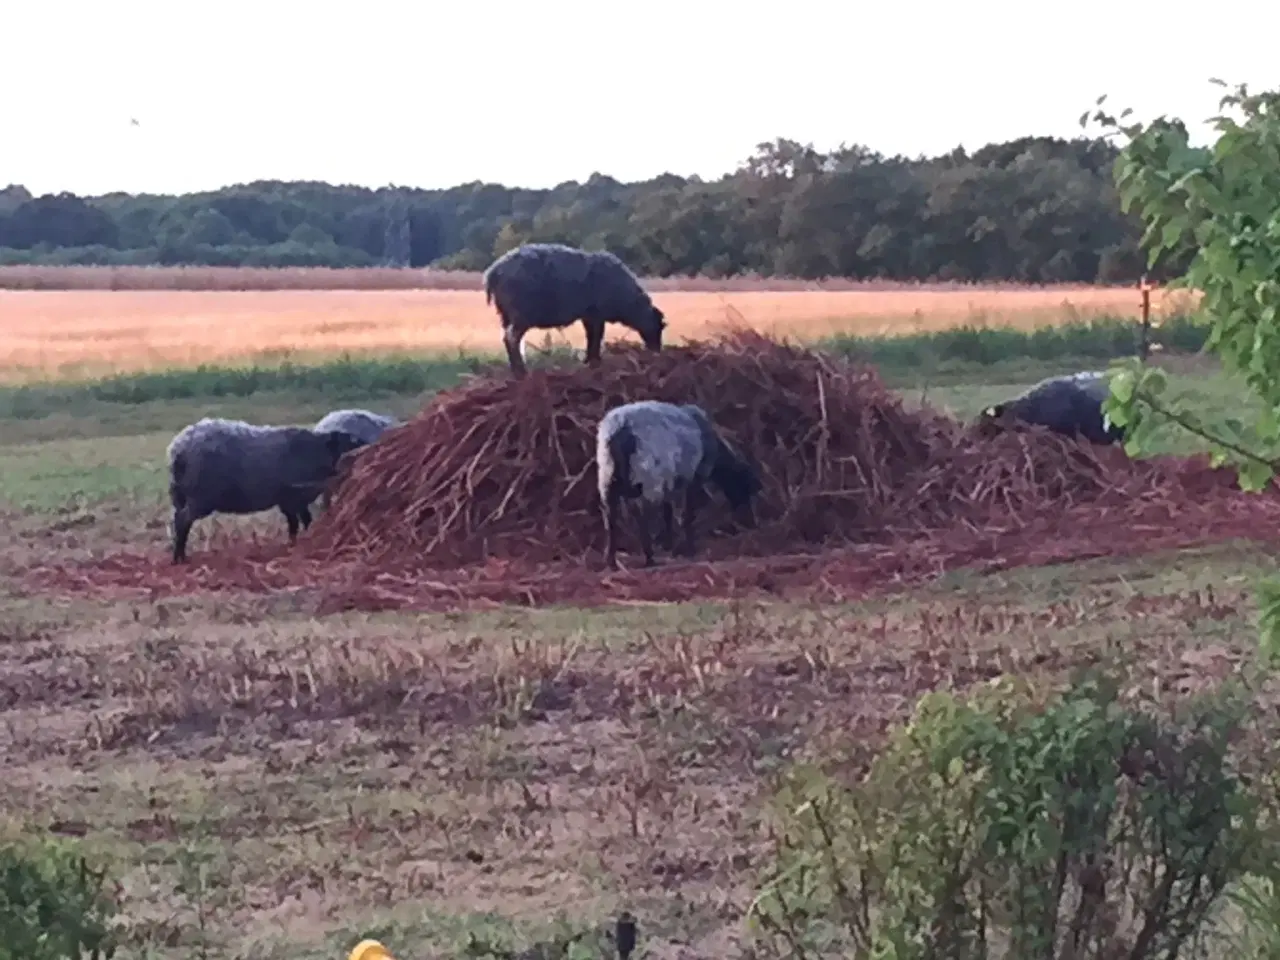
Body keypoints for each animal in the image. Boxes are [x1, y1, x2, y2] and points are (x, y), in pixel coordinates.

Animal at [165, 419, 366, 563]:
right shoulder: (294, 498)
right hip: (201, 498)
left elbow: (298, 522)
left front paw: (296, 543)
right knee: (182, 520)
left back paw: (179, 555)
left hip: (179, 495)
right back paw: (180, 558)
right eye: (352, 443)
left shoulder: (289, 501)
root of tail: (179, 449)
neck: (316, 451)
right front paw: (300, 543)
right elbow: (300, 522)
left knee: (178, 520)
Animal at [481, 241, 670, 378]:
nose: (657, 352)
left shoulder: (589, 316)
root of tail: (493, 273)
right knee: (511, 339)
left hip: (505, 315)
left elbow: (591, 337)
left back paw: (515, 371)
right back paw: (522, 372)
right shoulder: (596, 315)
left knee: (509, 339)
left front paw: (589, 361)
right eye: (659, 326)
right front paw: (594, 362)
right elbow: (596, 337)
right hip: (521, 315)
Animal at [591, 399, 757, 570]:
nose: (750, 523)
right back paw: (649, 559)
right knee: (643, 515)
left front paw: (668, 545)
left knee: (610, 517)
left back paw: (611, 562)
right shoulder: (692, 479)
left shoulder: (670, 482)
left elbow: (667, 513)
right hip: (648, 476)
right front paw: (689, 549)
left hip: (607, 477)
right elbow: (686, 514)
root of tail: (619, 429)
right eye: (746, 488)